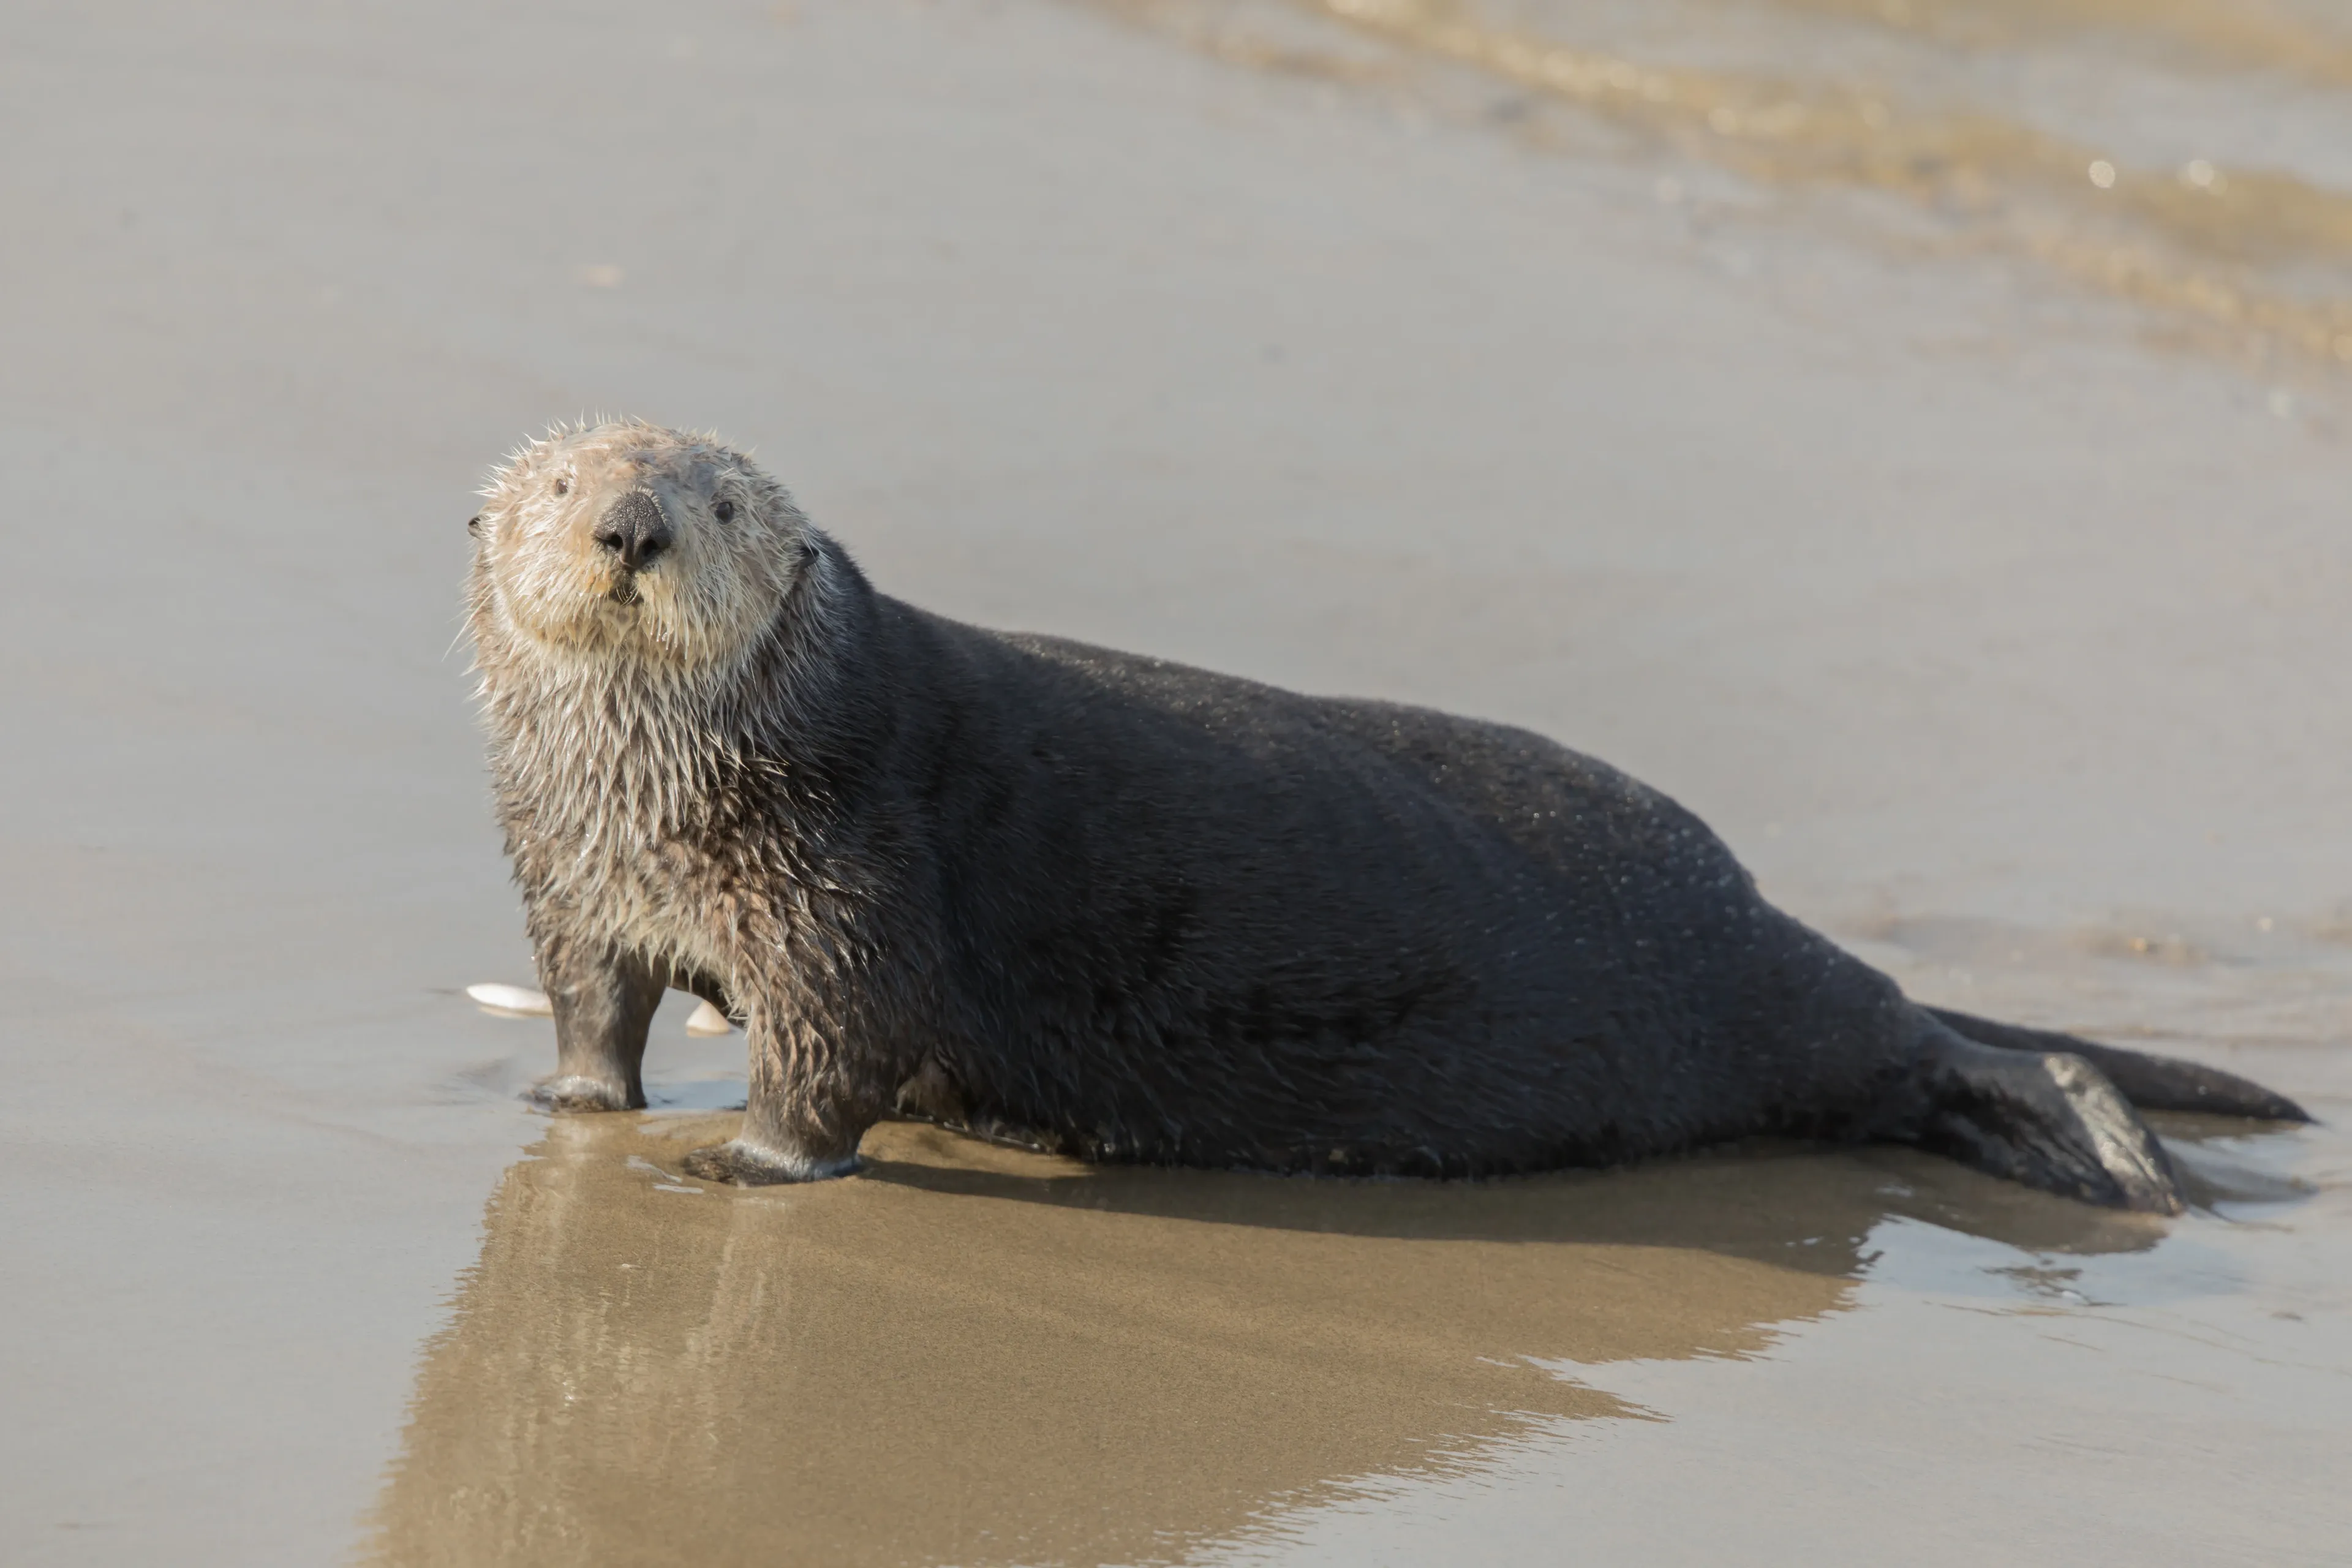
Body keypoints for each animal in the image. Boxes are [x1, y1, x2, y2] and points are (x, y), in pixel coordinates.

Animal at [465, 420, 2305, 1209]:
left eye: (717, 500)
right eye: (562, 483)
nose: (628, 525)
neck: (656, 815)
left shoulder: (851, 878)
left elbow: (837, 1046)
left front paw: (741, 1156)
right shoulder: (571, 885)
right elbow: (589, 1003)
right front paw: (566, 1103)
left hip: (1747, 1002)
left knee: (1943, 1044)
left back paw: (2108, 1158)